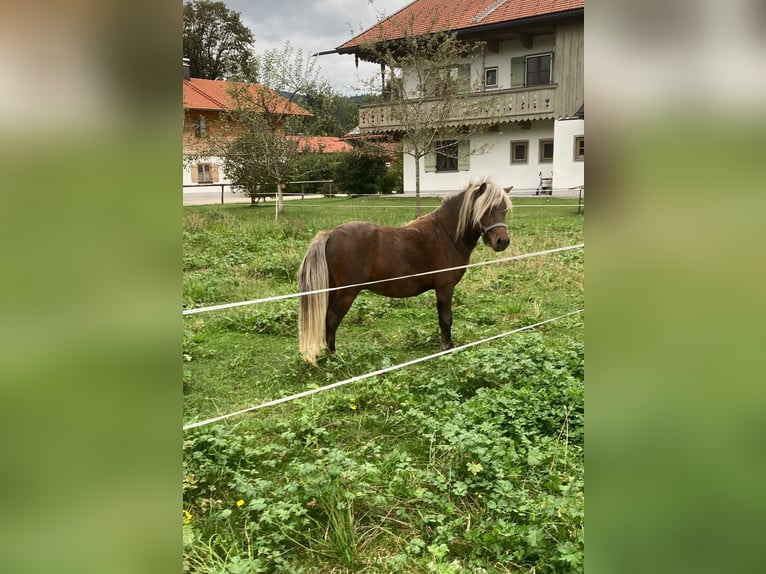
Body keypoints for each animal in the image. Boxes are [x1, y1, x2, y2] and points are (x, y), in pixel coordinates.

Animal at [297, 178, 512, 365]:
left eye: (504, 210)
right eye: (486, 209)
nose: (502, 241)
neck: (446, 234)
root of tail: (330, 234)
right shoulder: (445, 288)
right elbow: (446, 319)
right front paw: (447, 348)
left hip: (332, 290)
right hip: (347, 292)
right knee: (332, 319)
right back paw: (334, 357)